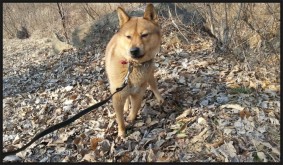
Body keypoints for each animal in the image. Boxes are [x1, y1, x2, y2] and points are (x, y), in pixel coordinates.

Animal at [105, 3, 164, 137]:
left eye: (144, 35)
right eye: (128, 37)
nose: (133, 51)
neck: (133, 66)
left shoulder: (138, 92)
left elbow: (135, 108)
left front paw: (131, 119)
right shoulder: (118, 96)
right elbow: (120, 118)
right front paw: (122, 132)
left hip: (150, 76)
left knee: (154, 87)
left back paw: (160, 99)